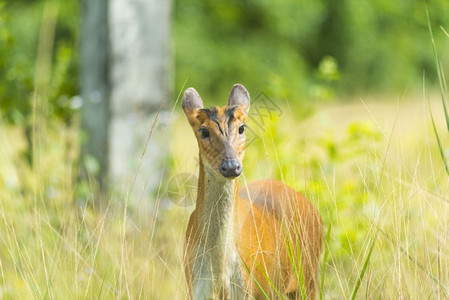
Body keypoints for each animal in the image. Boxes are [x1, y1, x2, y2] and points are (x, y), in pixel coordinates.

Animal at [182, 83, 322, 298]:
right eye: (204, 131)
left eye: (241, 128)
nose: (231, 166)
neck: (219, 268)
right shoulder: (195, 286)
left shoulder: (248, 287)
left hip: (309, 278)